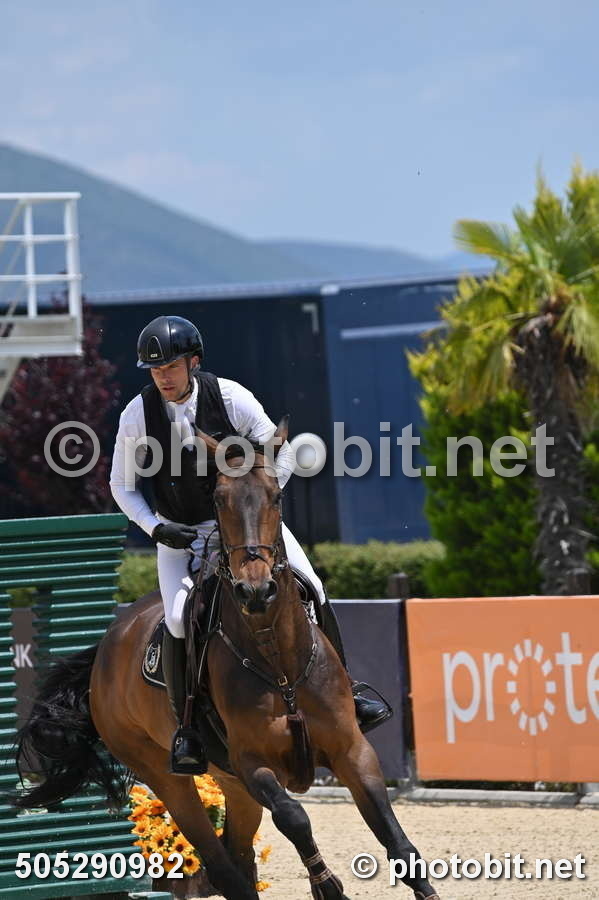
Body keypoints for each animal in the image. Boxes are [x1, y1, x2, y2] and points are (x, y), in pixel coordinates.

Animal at [14, 418, 440, 900]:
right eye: (218, 499)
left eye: (276, 496)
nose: (255, 591)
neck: (278, 661)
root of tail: (105, 650)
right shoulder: (253, 764)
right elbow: (295, 818)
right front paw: (327, 884)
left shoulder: (351, 749)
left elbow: (394, 837)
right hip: (168, 776)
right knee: (219, 862)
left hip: (230, 784)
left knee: (237, 854)